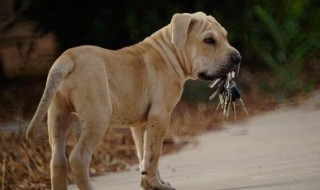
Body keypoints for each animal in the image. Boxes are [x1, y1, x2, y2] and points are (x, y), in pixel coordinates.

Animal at [26, 12, 240, 190]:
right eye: (208, 40)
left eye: (225, 36)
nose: (237, 57)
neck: (169, 52)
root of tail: (68, 58)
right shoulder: (160, 116)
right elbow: (154, 154)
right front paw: (157, 185)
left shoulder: (141, 124)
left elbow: (144, 153)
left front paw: (150, 183)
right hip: (97, 118)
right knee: (78, 158)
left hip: (57, 115)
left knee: (57, 160)